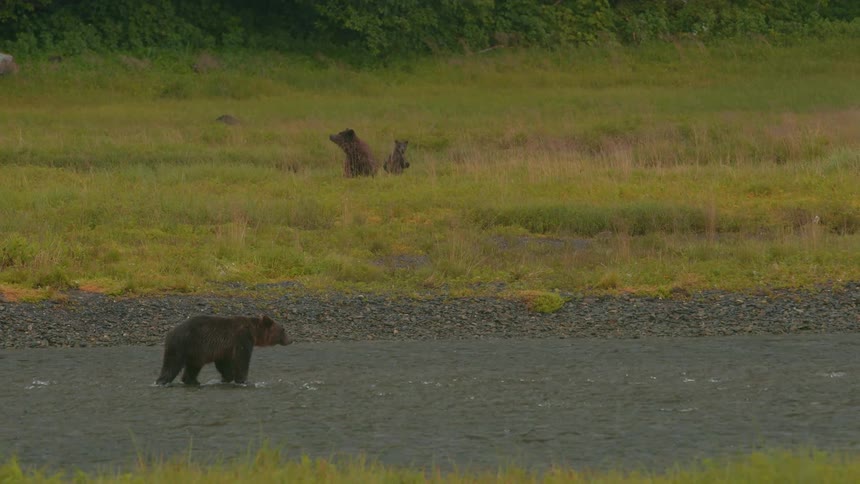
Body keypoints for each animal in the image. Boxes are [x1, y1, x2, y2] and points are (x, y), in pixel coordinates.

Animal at [155, 314, 291, 386]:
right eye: (283, 330)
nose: (290, 340)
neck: (254, 332)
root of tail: (170, 332)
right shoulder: (242, 338)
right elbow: (242, 360)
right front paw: (243, 380)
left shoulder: (224, 348)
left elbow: (224, 363)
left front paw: (227, 378)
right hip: (182, 344)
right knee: (171, 365)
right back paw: (162, 381)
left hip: (195, 352)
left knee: (192, 367)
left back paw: (193, 381)